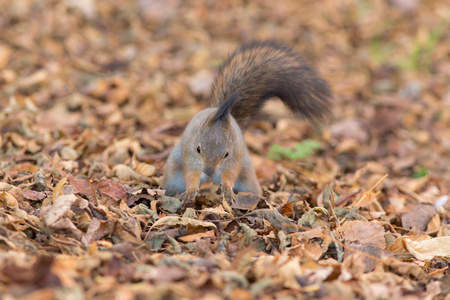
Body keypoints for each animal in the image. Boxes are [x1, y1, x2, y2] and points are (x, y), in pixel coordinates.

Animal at [162, 39, 330, 203]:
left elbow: (230, 174)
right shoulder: (189, 154)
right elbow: (191, 174)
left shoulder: (235, 157)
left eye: (226, 154)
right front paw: (190, 191)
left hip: (246, 178)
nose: (209, 171)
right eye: (198, 149)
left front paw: (227, 189)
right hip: (174, 177)